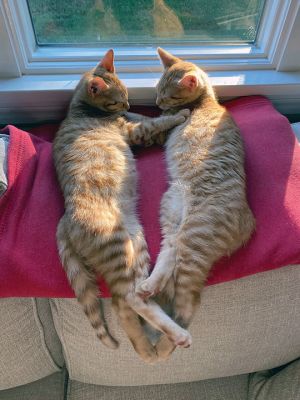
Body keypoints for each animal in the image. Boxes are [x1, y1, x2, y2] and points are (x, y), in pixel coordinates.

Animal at [52, 49, 191, 362]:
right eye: (116, 99)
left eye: (127, 94)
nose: (126, 104)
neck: (81, 109)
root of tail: (65, 219)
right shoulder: (134, 131)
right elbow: (155, 122)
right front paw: (180, 114)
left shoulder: (132, 123)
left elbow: (147, 119)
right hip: (116, 248)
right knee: (129, 299)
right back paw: (175, 337)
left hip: (135, 246)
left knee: (126, 302)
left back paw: (148, 347)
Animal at [138, 48, 255, 360]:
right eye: (157, 90)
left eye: (168, 96)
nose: (157, 102)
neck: (205, 102)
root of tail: (248, 223)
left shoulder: (161, 127)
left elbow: (147, 121)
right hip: (171, 215)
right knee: (169, 254)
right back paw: (148, 287)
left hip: (194, 238)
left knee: (188, 304)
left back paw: (170, 343)